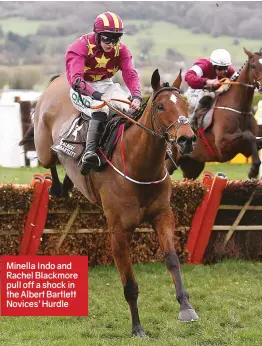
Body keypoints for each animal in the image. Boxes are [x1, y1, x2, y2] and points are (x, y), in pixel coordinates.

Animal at [32, 69, 198, 336]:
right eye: (161, 106)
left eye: (186, 105)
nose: (187, 140)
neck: (139, 167)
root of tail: (56, 82)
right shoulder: (118, 232)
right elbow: (129, 283)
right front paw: (137, 327)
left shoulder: (163, 215)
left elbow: (172, 259)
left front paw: (186, 307)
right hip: (44, 147)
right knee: (50, 161)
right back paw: (58, 187)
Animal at [167, 47, 262, 180]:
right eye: (253, 66)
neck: (240, 110)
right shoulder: (223, 145)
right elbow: (248, 135)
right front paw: (253, 170)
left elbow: (254, 139)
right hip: (169, 161)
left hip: (193, 165)